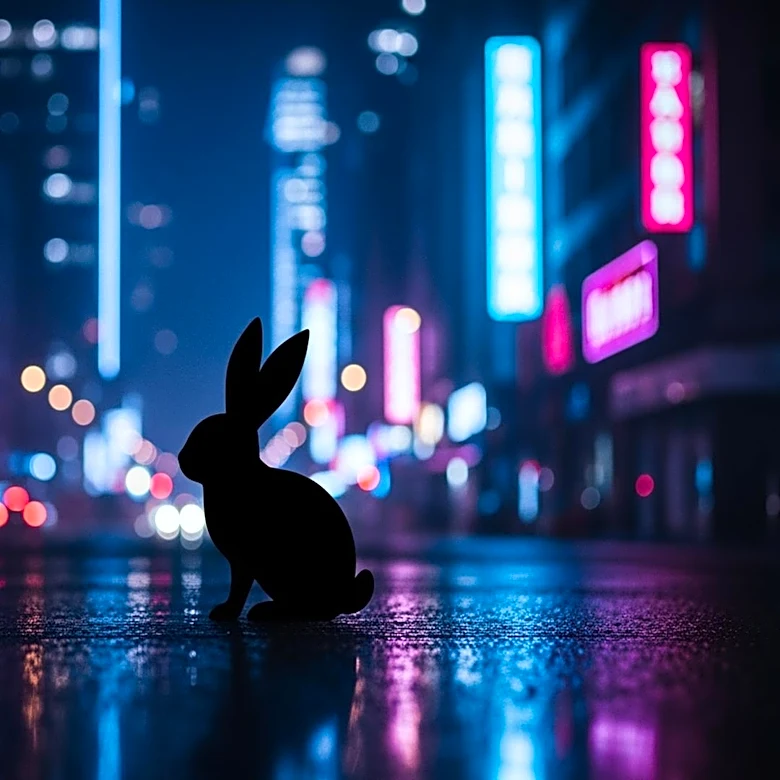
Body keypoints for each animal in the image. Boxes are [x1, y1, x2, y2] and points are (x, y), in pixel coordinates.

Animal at [178, 317, 374, 622]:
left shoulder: (243, 559)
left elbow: (239, 588)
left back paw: (267, 611)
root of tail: (343, 599)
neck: (238, 476)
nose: (181, 459)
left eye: (209, 438)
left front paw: (224, 613)